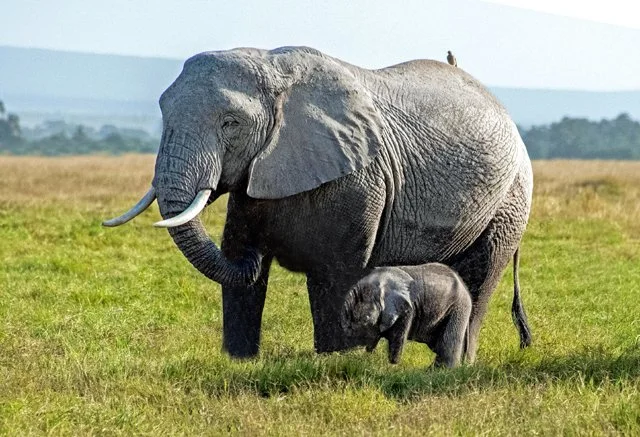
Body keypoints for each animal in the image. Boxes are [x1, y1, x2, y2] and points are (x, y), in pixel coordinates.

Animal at [341, 263, 472, 368]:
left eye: (366, 319)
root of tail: (464, 287)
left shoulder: (406, 309)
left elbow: (397, 339)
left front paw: (392, 366)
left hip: (459, 308)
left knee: (447, 345)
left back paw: (438, 371)